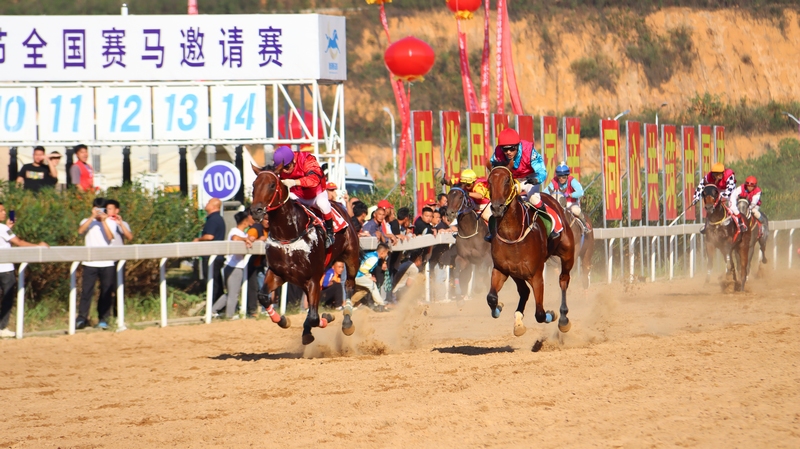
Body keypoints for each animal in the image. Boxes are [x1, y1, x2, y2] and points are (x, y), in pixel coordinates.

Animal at [250, 165, 361, 345]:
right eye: (254, 184)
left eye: (272, 185)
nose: (256, 211)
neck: (288, 235)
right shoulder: (277, 273)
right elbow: (263, 297)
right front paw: (283, 320)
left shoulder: (313, 278)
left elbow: (315, 317)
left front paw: (327, 317)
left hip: (351, 257)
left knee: (349, 285)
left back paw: (347, 322)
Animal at [485, 166, 576, 336]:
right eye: (489, 181)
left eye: (507, 180)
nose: (497, 208)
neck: (512, 234)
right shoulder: (501, 269)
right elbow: (491, 298)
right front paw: (498, 307)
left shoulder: (536, 275)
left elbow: (540, 314)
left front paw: (551, 314)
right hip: (516, 273)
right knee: (524, 291)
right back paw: (518, 322)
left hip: (567, 254)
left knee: (563, 280)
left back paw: (563, 319)